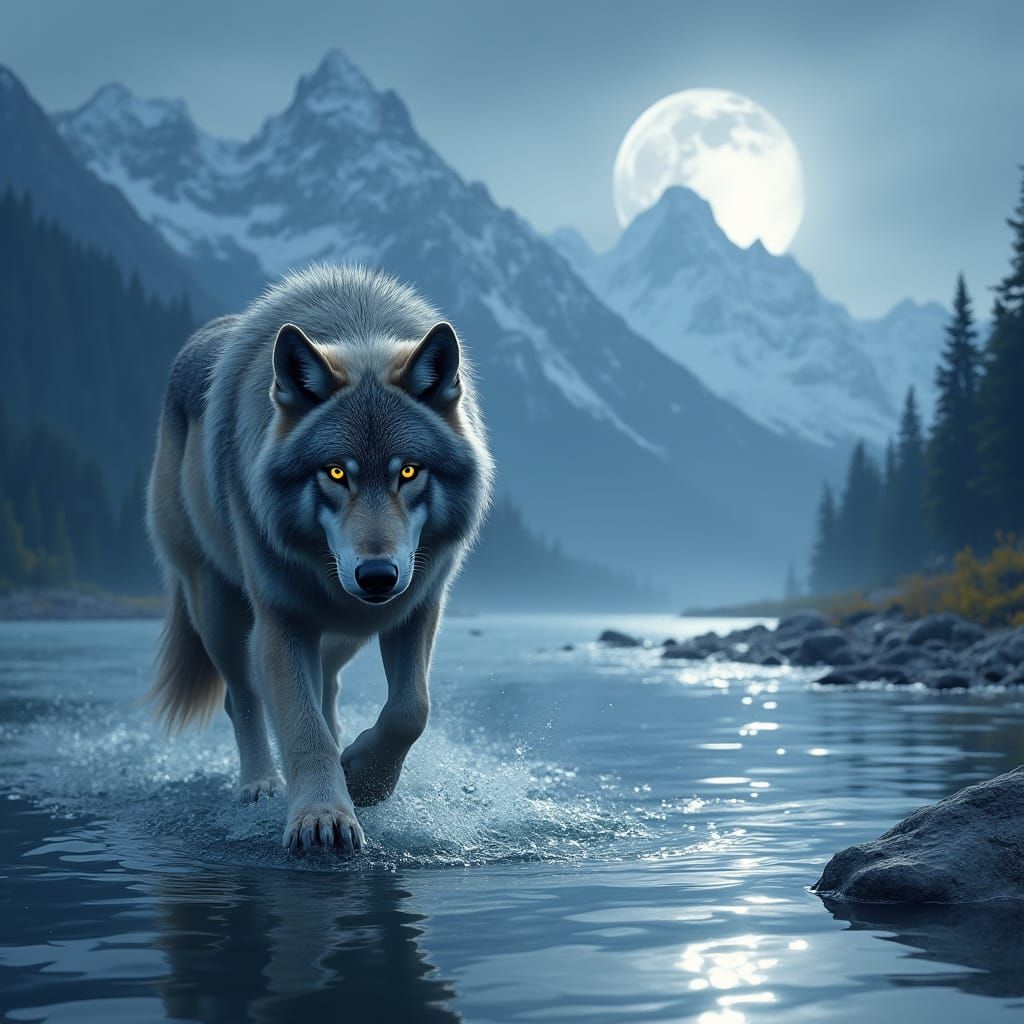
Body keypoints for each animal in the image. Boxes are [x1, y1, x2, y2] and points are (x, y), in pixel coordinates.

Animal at [146, 264, 493, 853]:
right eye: (336, 473)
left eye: (408, 471)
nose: (376, 576)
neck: (357, 326)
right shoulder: (281, 622)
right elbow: (301, 727)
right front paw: (322, 816)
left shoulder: (418, 607)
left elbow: (410, 711)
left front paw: (366, 782)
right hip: (218, 609)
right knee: (242, 698)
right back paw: (260, 785)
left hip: (344, 633)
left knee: (329, 691)